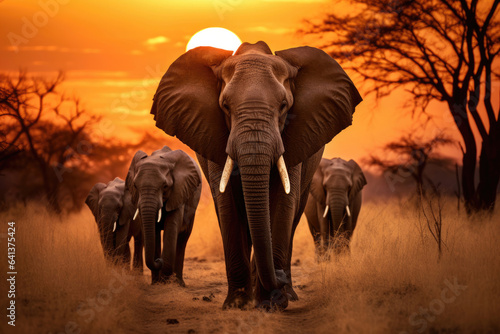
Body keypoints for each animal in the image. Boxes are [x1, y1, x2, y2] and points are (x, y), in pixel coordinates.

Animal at [124, 147, 201, 288]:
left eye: (165, 186)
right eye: (135, 186)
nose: (159, 260)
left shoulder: (179, 191)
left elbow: (172, 227)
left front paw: (165, 281)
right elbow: (153, 231)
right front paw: (156, 283)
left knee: (183, 238)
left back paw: (179, 283)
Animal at [150, 41, 362, 310]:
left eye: (283, 105)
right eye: (225, 106)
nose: (279, 278)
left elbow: (283, 202)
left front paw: (272, 304)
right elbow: (227, 205)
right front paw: (237, 304)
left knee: (293, 216)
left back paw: (286, 293)